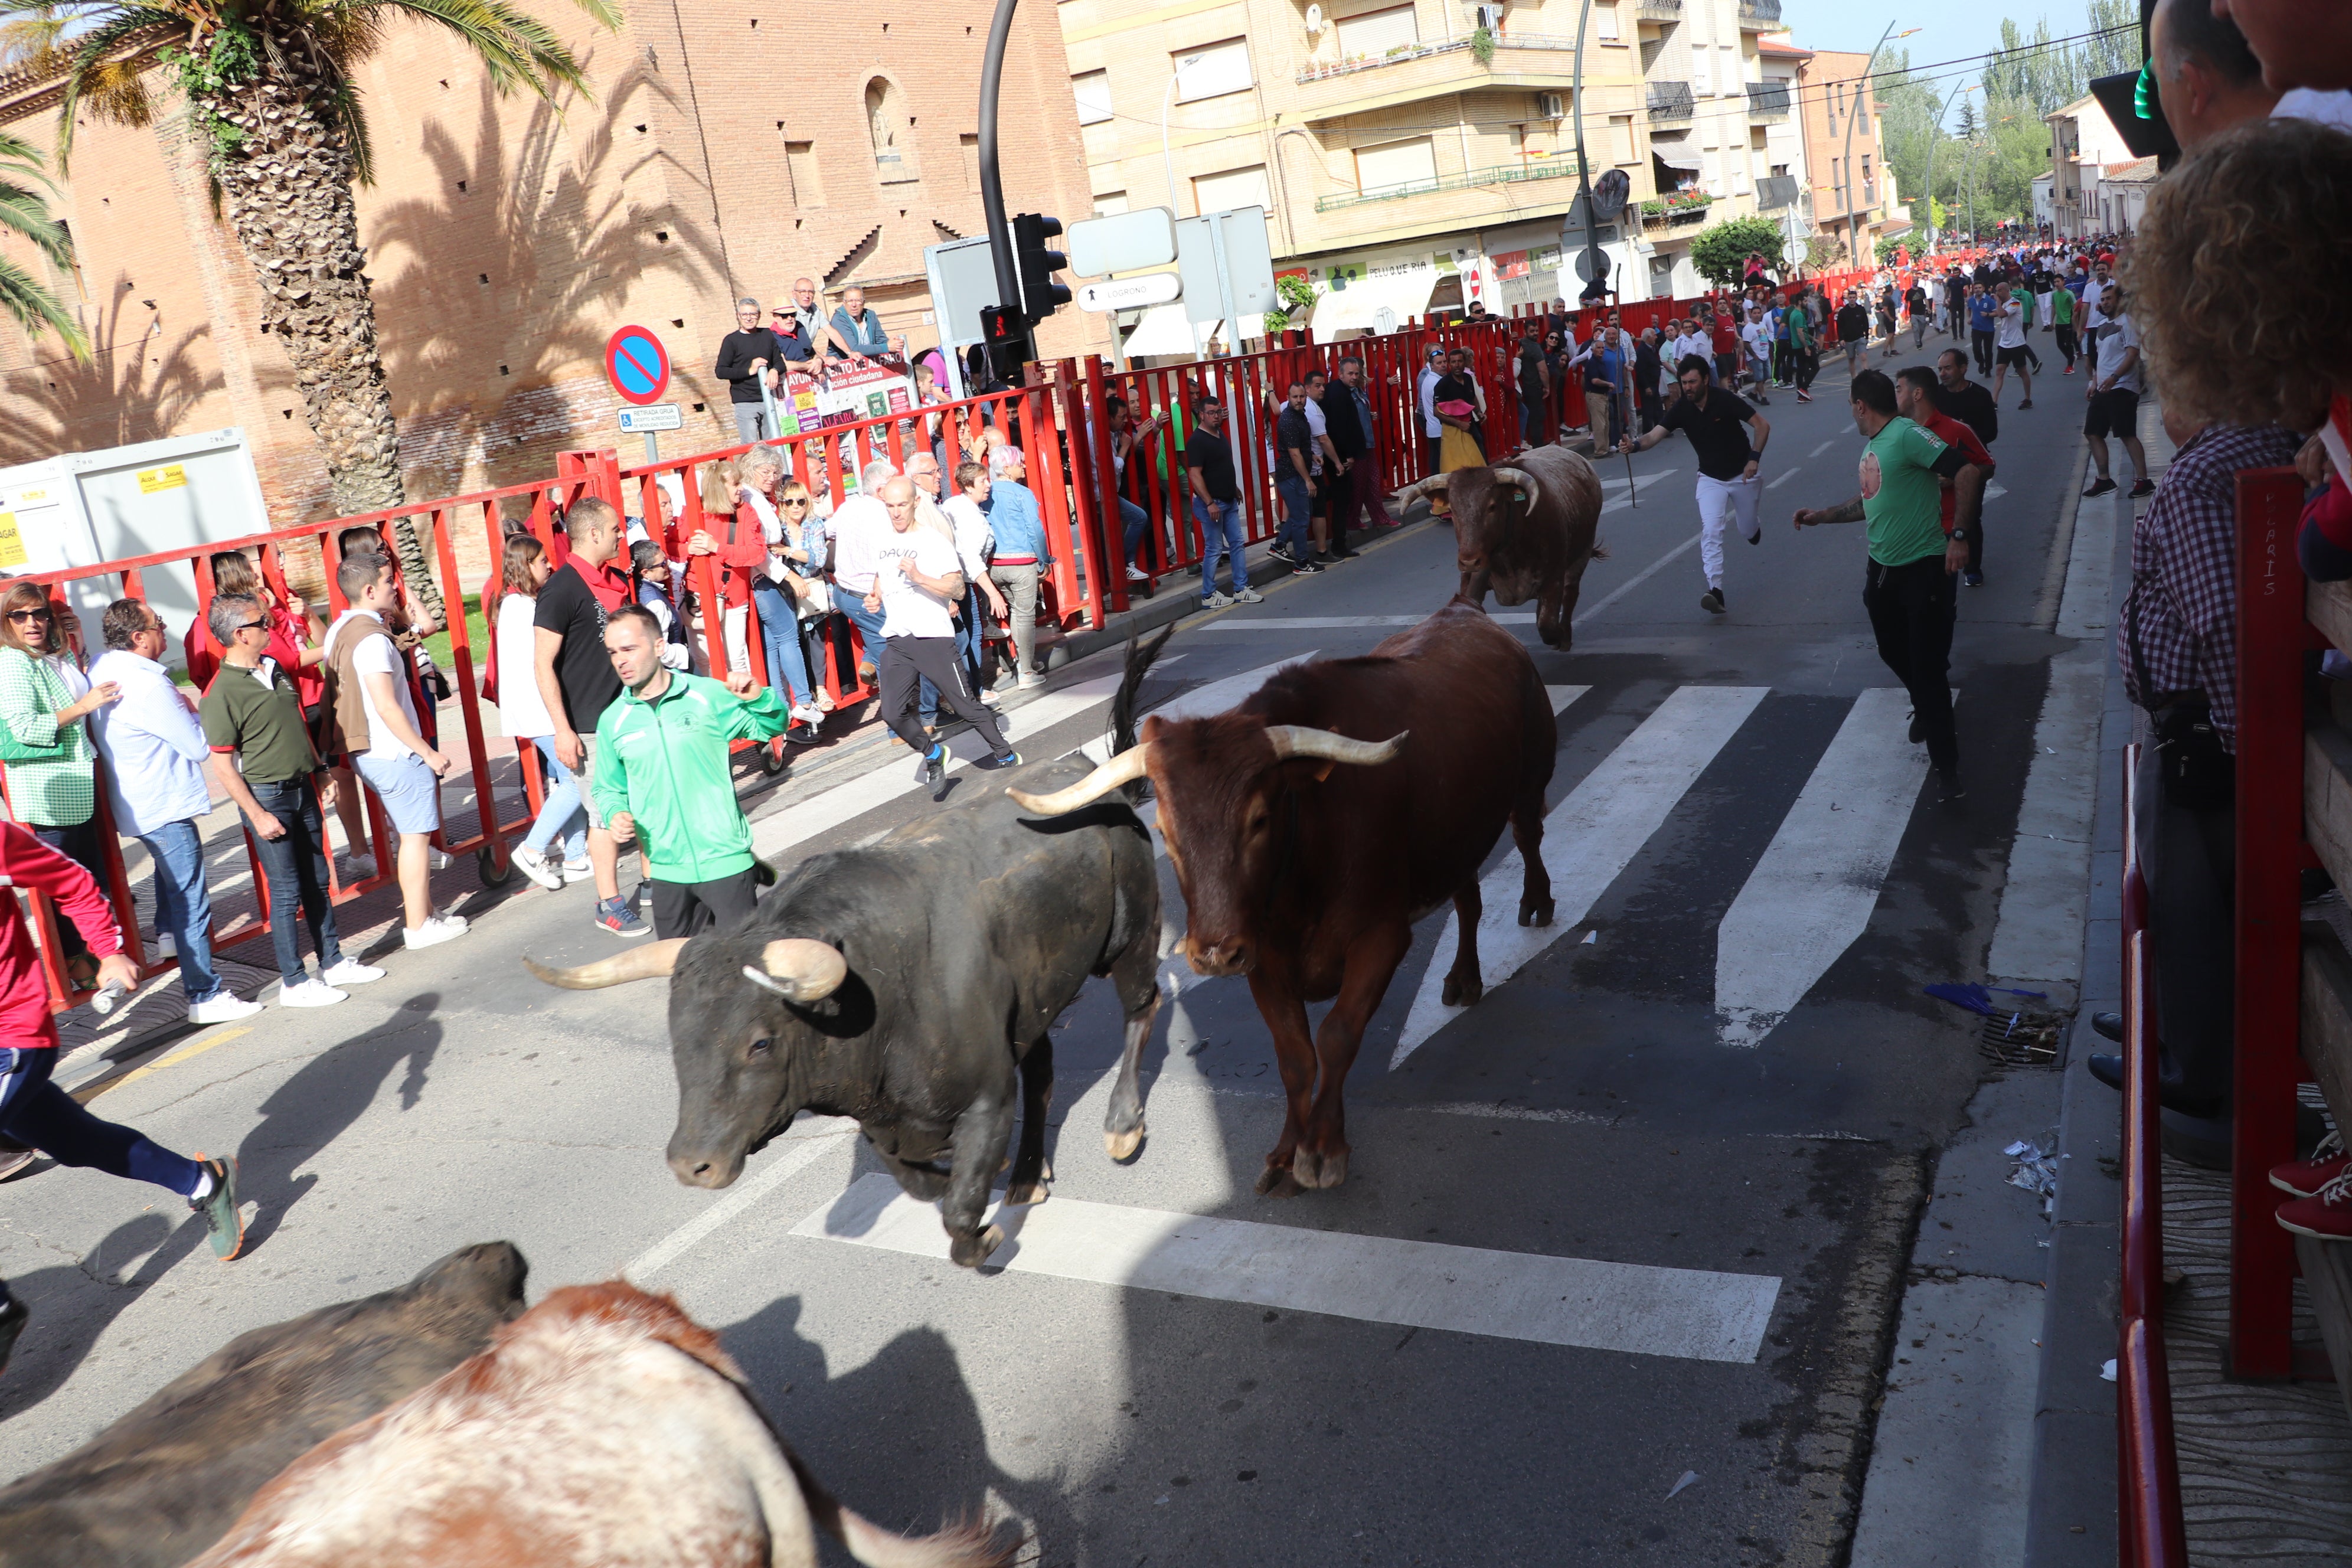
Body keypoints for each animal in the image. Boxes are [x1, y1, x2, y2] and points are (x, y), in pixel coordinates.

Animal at [1007, 594, 1543, 1194]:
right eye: (1165, 831)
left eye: (1260, 819)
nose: (1213, 953)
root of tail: (1467, 610)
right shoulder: (1262, 960)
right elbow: (1295, 1056)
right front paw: (1287, 1151)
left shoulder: (1381, 938)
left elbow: (1336, 1037)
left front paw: (1323, 1150)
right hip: (1455, 835)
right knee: (1468, 896)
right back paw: (1464, 977)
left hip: (1529, 780)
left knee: (1528, 838)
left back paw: (1537, 905)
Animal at [1402, 442, 1609, 649]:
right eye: (1452, 510)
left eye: (1492, 507)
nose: (1469, 561)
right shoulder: (1470, 580)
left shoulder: (1554, 578)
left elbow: (1547, 625)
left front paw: (1559, 635)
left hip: (1582, 553)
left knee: (1571, 593)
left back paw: (1565, 636)